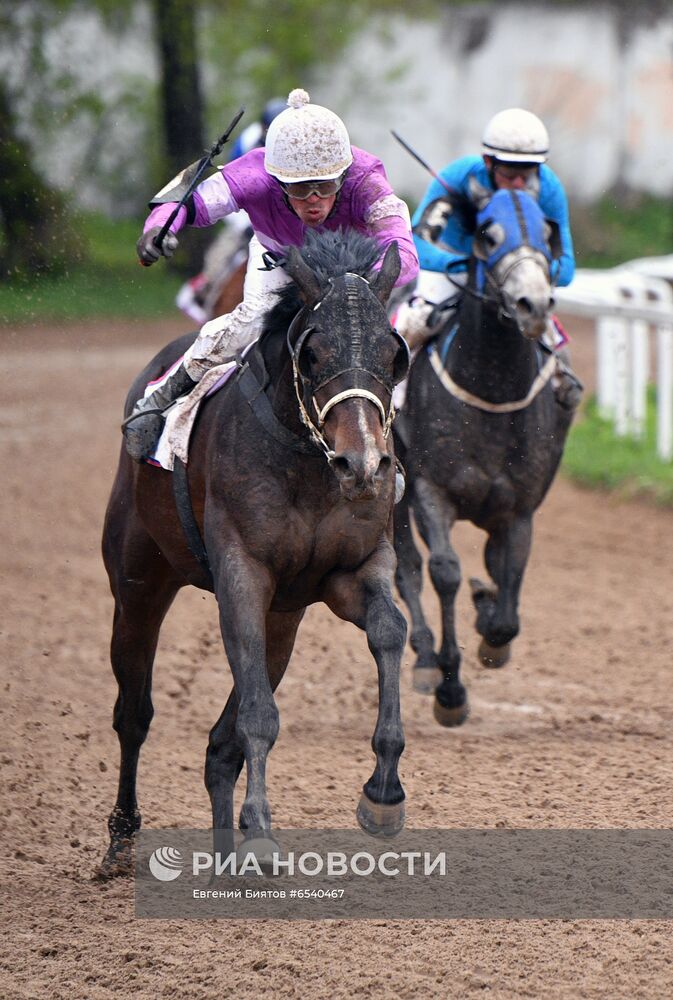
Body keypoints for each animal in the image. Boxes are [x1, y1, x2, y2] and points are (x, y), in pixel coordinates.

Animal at [100, 230, 410, 872]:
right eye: (312, 353)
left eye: (394, 354)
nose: (364, 463)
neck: (308, 460)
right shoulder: (243, 574)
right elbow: (258, 716)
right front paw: (261, 827)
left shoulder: (351, 570)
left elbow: (391, 631)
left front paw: (383, 794)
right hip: (138, 580)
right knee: (133, 714)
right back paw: (120, 838)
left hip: (283, 622)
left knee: (221, 744)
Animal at [394, 189, 572, 728]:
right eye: (487, 235)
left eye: (548, 235)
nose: (533, 304)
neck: (491, 388)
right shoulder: (430, 491)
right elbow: (444, 572)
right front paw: (450, 687)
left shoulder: (519, 509)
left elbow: (509, 590)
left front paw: (490, 622)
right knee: (406, 567)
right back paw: (425, 659)